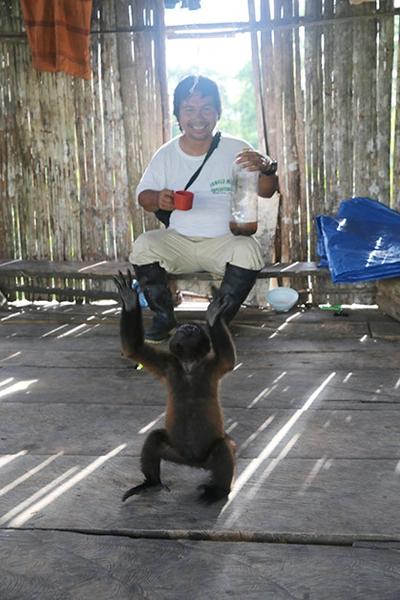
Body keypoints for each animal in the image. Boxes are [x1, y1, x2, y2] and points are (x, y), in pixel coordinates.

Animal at [113, 270, 238, 502]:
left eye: (193, 328)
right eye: (185, 328)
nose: (186, 327)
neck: (188, 365)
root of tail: (194, 463)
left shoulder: (212, 365)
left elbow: (228, 359)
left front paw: (214, 316)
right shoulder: (169, 364)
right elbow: (134, 348)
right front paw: (130, 301)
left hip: (207, 457)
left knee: (223, 448)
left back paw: (219, 490)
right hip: (176, 452)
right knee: (155, 439)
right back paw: (152, 482)